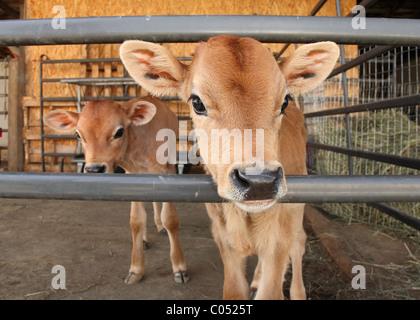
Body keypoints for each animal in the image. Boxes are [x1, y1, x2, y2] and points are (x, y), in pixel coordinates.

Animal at [43, 96, 188, 284]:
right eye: (77, 134)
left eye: (119, 132)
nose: (94, 169)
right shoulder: (133, 176)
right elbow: (136, 220)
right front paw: (136, 268)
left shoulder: (168, 170)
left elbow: (170, 219)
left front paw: (179, 267)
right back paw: (144, 239)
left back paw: (159, 226)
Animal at [120, 36, 338, 298]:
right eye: (197, 102)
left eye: (284, 101)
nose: (259, 181)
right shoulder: (224, 240)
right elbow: (234, 290)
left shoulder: (278, 241)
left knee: (299, 243)